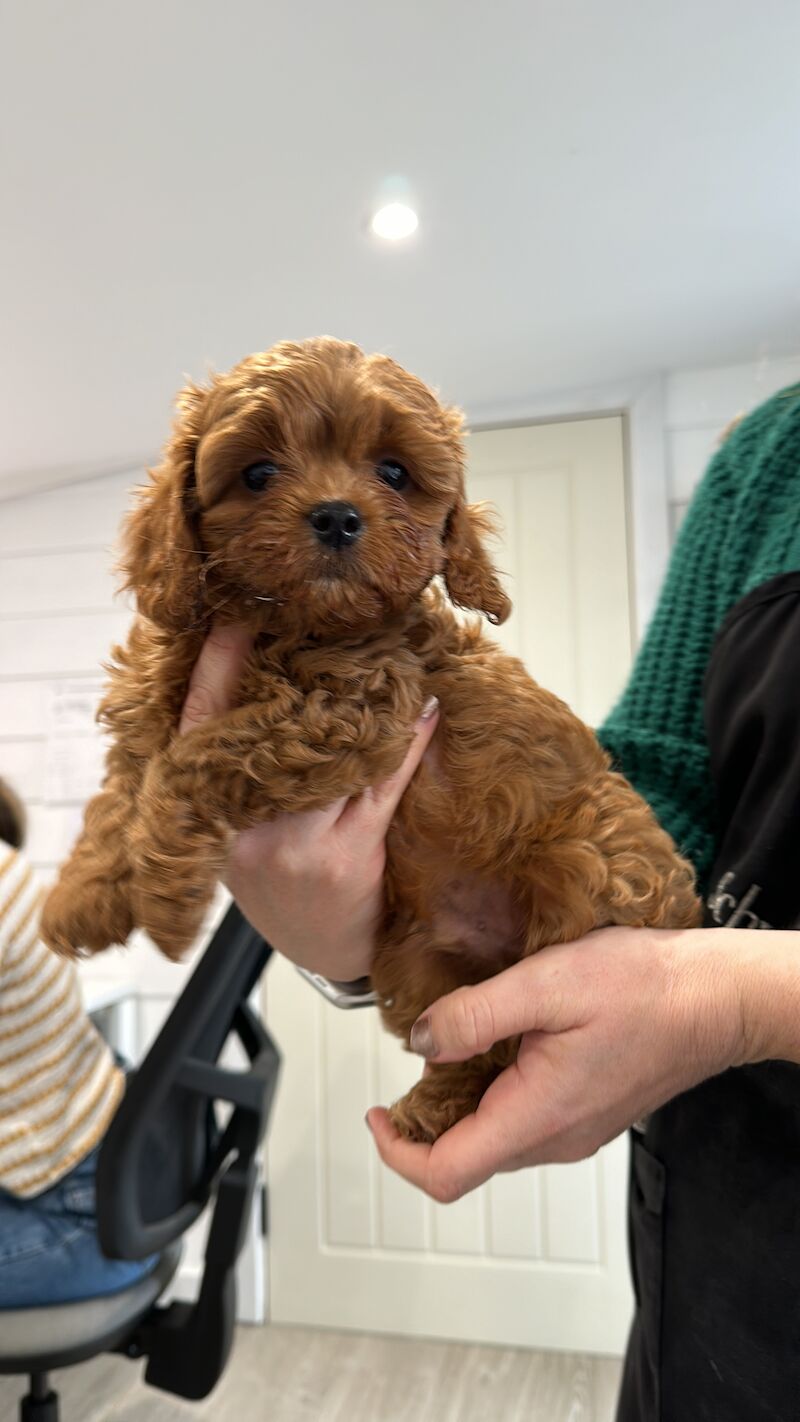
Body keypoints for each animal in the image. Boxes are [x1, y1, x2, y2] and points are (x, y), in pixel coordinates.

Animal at [40, 335, 699, 1143]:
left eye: (393, 472)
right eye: (257, 473)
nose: (336, 517)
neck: (286, 620)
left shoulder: (354, 710)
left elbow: (185, 766)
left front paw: (166, 900)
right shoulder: (161, 685)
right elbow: (122, 788)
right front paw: (82, 897)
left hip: (589, 872)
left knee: (520, 1028)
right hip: (417, 963)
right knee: (479, 1042)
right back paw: (435, 1109)